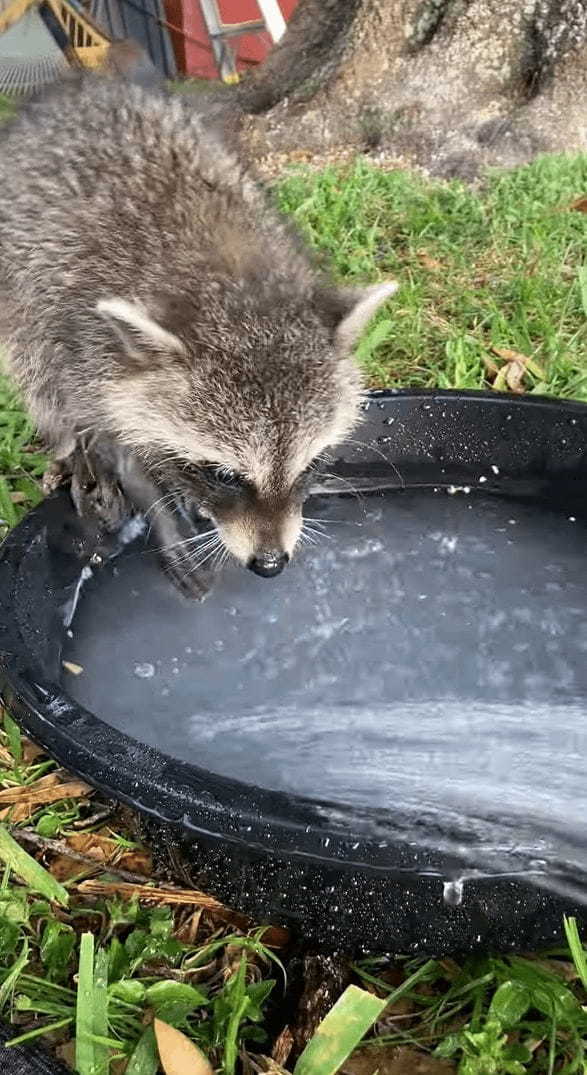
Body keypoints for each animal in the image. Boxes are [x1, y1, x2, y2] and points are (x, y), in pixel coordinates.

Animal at [0, 75, 395, 597]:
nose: (270, 564)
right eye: (224, 474)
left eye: (310, 465)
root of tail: (75, 92)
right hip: (19, 302)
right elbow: (112, 437)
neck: (234, 289)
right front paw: (154, 502)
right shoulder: (84, 344)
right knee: (41, 386)